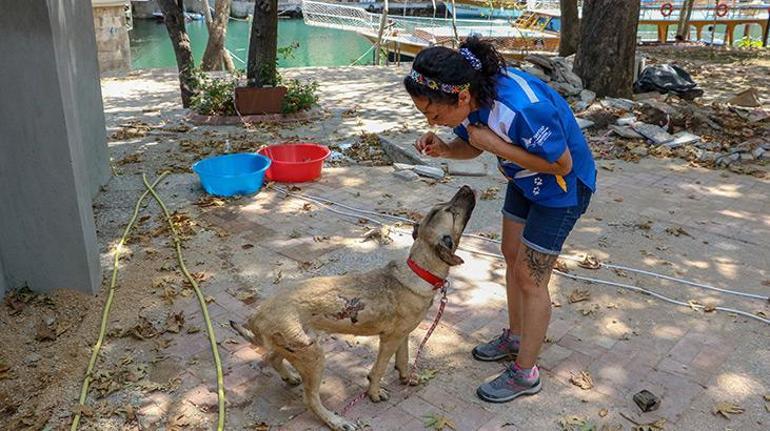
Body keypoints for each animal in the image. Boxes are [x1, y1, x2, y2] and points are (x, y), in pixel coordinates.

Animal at [230, 186, 474, 431]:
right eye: (452, 212)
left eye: (445, 208)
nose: (466, 188)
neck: (419, 270)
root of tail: (257, 315)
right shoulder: (389, 340)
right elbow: (379, 369)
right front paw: (374, 393)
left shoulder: (402, 335)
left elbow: (403, 359)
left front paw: (406, 378)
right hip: (313, 356)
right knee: (310, 399)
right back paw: (335, 421)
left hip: (295, 348)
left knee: (272, 357)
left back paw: (289, 377)